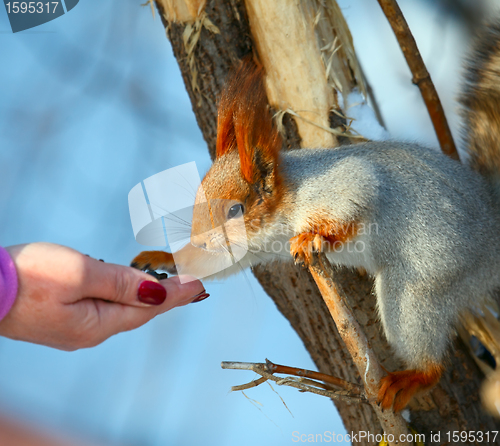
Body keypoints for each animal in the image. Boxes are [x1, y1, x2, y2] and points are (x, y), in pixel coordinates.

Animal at [131, 21, 500, 412]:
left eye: (235, 210)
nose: (199, 240)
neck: (282, 212)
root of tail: (493, 226)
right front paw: (161, 258)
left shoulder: (341, 184)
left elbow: (358, 196)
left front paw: (314, 237)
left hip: (423, 282)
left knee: (427, 349)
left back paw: (413, 377)